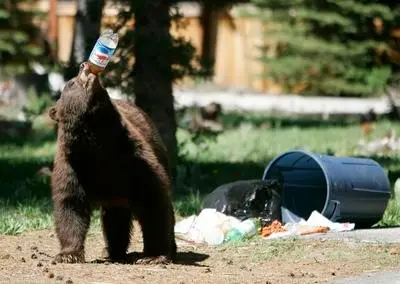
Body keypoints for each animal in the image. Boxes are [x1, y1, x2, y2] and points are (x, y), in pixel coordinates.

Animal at [48, 62, 177, 264]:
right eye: (70, 83)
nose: (83, 65)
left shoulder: (134, 159)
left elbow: (153, 201)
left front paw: (153, 256)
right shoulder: (72, 166)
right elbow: (70, 204)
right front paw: (67, 254)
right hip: (115, 197)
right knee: (115, 218)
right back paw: (113, 251)